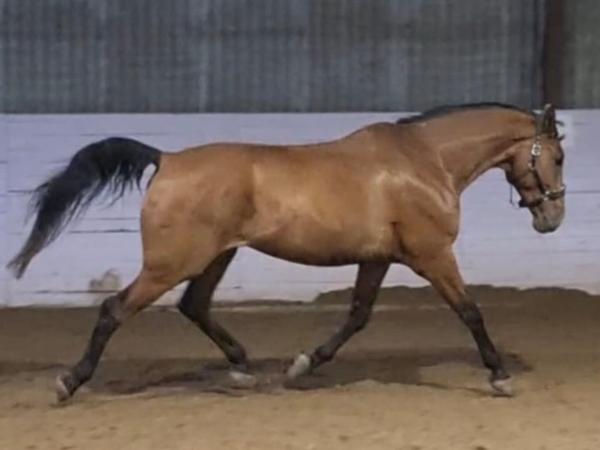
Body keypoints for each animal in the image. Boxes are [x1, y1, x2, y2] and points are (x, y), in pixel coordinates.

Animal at [7, 102, 566, 402]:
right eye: (557, 156)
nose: (553, 218)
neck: (426, 162)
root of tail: (167, 159)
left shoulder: (377, 258)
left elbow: (357, 316)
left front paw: (302, 365)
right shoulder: (432, 255)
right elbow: (470, 311)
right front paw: (499, 377)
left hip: (214, 257)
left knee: (194, 305)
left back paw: (241, 367)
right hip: (173, 262)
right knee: (115, 309)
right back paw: (69, 382)